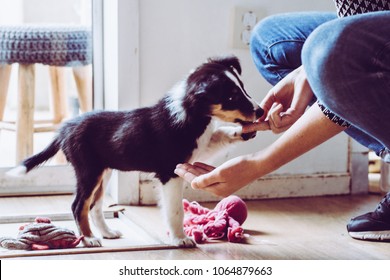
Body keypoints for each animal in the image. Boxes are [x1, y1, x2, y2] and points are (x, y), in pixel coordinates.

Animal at [8, 55, 266, 247]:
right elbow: (175, 211)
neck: (190, 113)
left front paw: (242, 132)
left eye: (243, 88)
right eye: (231, 97)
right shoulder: (170, 173)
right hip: (88, 171)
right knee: (78, 205)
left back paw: (107, 233)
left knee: (95, 206)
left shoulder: (197, 147)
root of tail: (64, 129)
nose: (261, 111)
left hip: (103, 172)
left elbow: (219, 135)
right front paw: (180, 239)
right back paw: (89, 239)